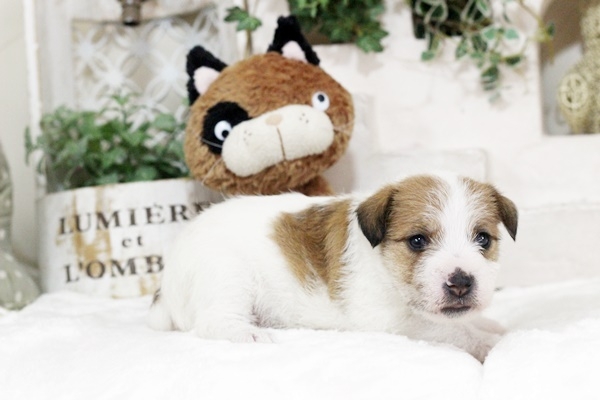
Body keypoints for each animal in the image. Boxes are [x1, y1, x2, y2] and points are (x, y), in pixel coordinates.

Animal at [148, 174, 518, 362]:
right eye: (417, 241)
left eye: (483, 239)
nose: (461, 282)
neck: (382, 265)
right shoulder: (391, 322)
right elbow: (453, 332)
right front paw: (489, 343)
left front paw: (487, 324)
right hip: (227, 277)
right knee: (213, 322)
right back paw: (248, 333)